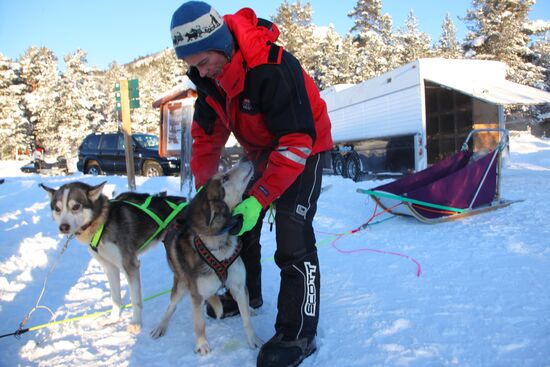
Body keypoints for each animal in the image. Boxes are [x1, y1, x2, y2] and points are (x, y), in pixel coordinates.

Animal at [40, 183, 188, 334]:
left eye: (76, 206)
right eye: (58, 209)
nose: (63, 227)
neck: (103, 223)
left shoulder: (130, 265)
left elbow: (135, 300)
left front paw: (136, 323)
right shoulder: (110, 267)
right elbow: (116, 298)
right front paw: (114, 319)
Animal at [151, 162, 264, 356]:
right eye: (225, 178)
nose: (246, 159)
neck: (219, 245)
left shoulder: (239, 286)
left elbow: (246, 320)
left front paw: (253, 339)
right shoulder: (196, 294)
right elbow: (199, 324)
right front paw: (202, 344)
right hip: (181, 284)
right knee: (172, 305)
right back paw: (161, 326)